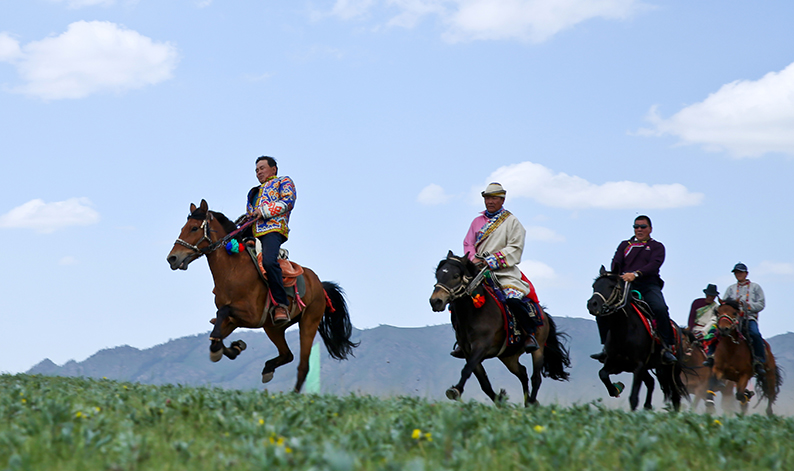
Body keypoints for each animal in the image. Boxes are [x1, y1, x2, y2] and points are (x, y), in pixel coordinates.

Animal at [164, 199, 356, 390]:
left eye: (194, 228)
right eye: (183, 227)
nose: (172, 258)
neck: (233, 271)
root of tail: (319, 284)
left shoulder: (252, 316)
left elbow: (222, 313)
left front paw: (230, 348)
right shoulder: (232, 321)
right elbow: (215, 337)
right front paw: (235, 347)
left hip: (308, 322)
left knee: (303, 366)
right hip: (273, 327)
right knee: (287, 355)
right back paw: (268, 369)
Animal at [426, 253, 568, 408]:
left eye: (456, 275)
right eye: (438, 274)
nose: (435, 301)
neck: (474, 312)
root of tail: (543, 313)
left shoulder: (481, 347)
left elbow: (467, 370)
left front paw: (455, 391)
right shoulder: (468, 352)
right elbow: (484, 382)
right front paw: (500, 400)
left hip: (539, 348)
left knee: (536, 378)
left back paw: (531, 403)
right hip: (508, 356)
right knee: (522, 373)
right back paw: (527, 403)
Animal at [584, 268, 684, 412]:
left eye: (611, 286)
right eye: (594, 286)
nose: (592, 305)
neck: (623, 331)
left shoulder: (638, 366)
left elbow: (633, 398)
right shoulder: (615, 363)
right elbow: (602, 374)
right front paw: (615, 389)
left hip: (673, 370)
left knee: (676, 396)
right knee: (651, 382)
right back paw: (647, 406)